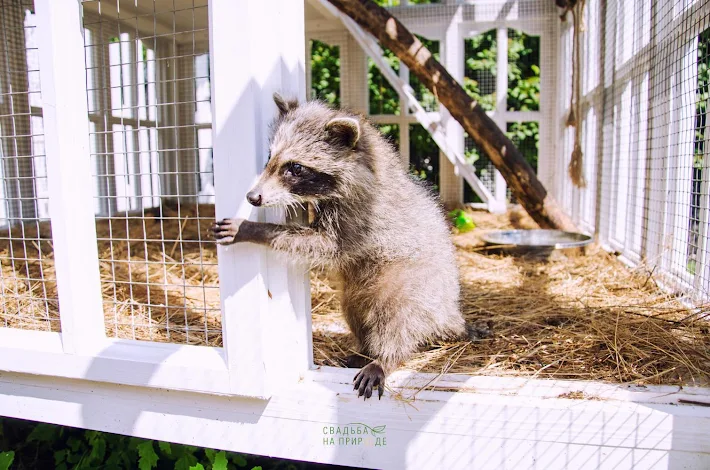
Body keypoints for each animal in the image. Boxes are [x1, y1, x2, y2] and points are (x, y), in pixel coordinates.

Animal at [213, 92, 484, 400]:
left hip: (414, 285)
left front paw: (255, 229)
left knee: (397, 318)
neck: (362, 166)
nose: (253, 197)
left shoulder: (363, 213)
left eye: (295, 168)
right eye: (270, 158)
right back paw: (364, 350)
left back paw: (384, 357)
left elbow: (324, 246)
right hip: (360, 292)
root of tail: (447, 311)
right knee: (354, 310)